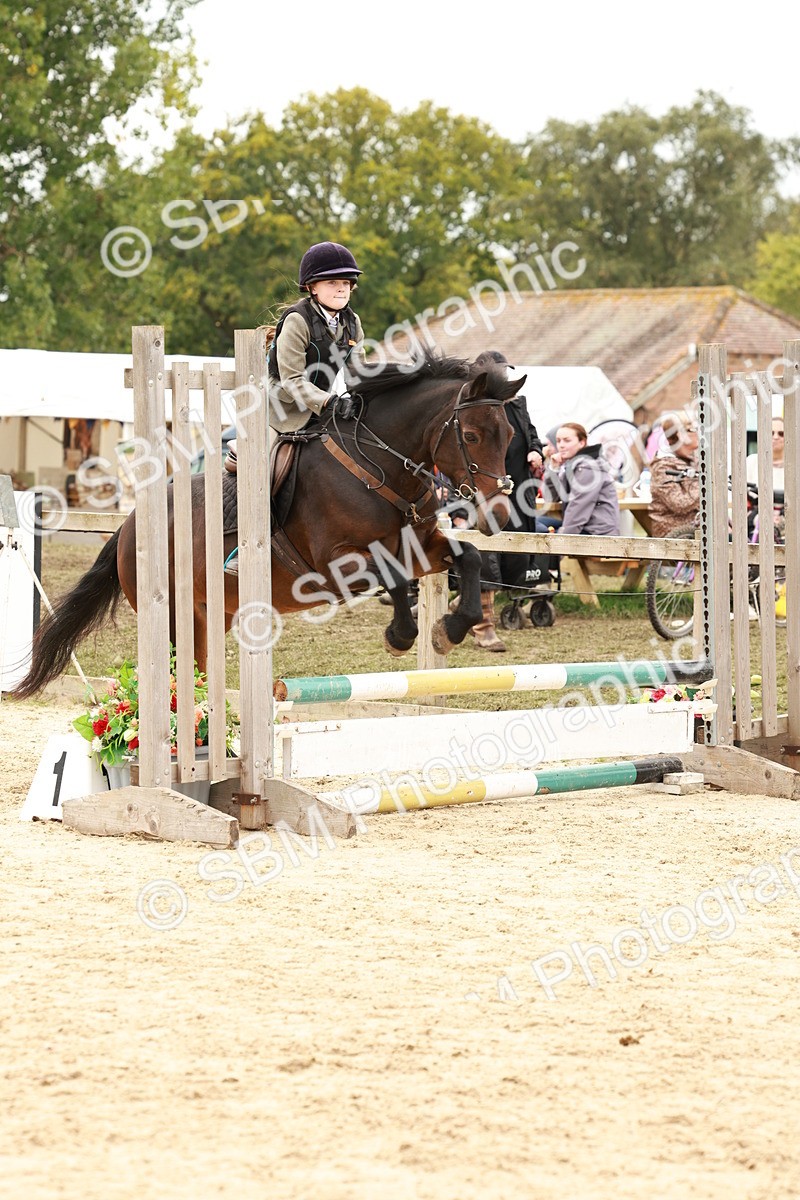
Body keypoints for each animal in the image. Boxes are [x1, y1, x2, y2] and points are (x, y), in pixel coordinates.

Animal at [11, 351, 525, 699]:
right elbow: (395, 578)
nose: (499, 516)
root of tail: (129, 527)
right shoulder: (340, 562)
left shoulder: (421, 546)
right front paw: (401, 636)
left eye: (509, 435)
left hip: (209, 615)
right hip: (172, 614)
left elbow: (468, 558)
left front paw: (449, 629)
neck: (376, 465)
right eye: (472, 435)